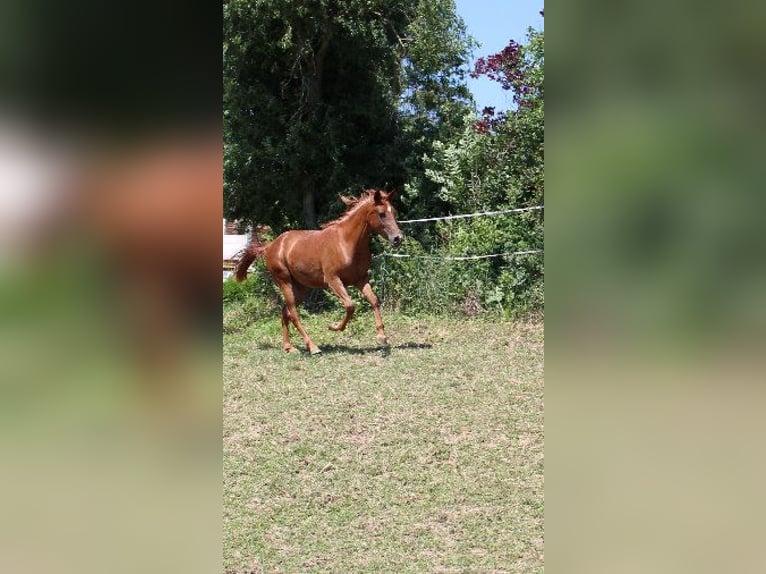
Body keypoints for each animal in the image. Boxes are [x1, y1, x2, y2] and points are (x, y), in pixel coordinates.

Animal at [232, 189, 402, 356]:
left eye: (394, 212)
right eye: (381, 214)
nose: (398, 238)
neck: (346, 243)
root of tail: (271, 245)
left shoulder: (360, 279)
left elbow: (374, 301)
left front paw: (382, 337)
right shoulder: (333, 280)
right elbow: (350, 305)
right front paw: (334, 326)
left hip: (300, 288)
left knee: (284, 311)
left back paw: (288, 347)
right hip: (284, 282)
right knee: (293, 314)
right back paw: (312, 347)